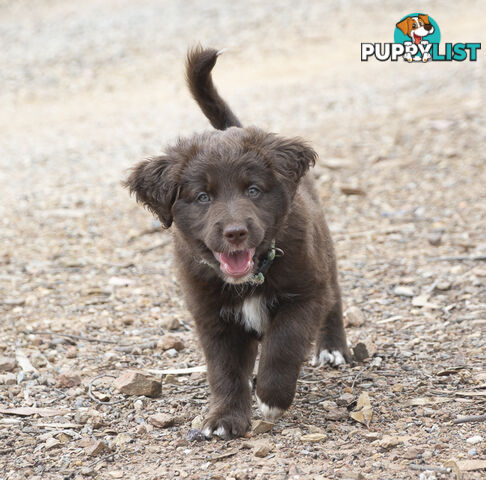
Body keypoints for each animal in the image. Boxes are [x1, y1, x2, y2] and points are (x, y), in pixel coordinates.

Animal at [125, 47, 352, 438]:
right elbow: (225, 370)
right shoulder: (212, 316)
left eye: (253, 190)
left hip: (324, 254)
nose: (235, 232)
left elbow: (284, 343)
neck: (251, 278)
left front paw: (272, 398)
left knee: (334, 299)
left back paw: (333, 349)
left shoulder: (305, 292)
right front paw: (225, 418)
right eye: (203, 197)